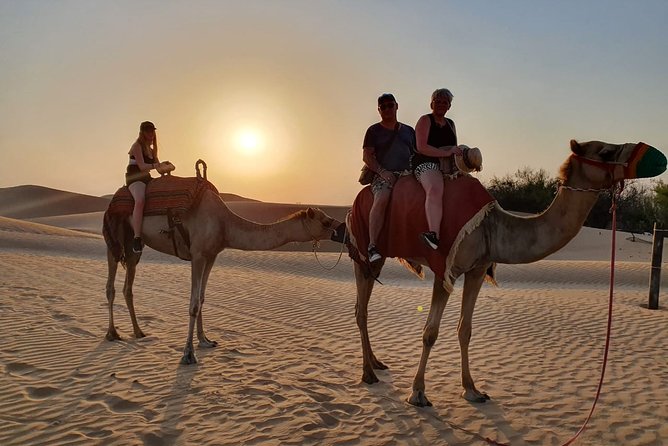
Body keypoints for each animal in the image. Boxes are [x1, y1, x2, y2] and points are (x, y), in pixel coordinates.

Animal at [103, 185, 341, 365]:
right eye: (325, 221)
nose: (342, 228)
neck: (225, 224)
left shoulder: (212, 255)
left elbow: (201, 298)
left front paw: (205, 340)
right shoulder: (198, 254)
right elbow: (193, 303)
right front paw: (188, 354)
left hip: (134, 245)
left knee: (127, 287)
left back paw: (138, 332)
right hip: (114, 239)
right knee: (110, 287)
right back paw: (112, 333)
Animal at [348, 140, 666, 407]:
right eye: (605, 151)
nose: (657, 156)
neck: (491, 228)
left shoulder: (477, 270)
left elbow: (465, 329)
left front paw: (472, 390)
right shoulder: (445, 269)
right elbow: (430, 332)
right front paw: (418, 393)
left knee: (363, 306)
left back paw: (376, 363)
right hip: (363, 250)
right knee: (361, 308)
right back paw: (368, 374)